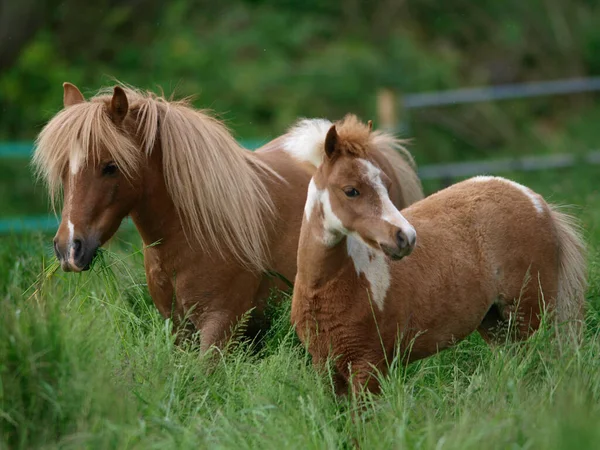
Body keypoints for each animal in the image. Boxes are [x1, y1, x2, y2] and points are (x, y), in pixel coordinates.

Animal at [31, 82, 422, 350]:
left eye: (110, 166)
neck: (192, 234)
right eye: (64, 170)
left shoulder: (220, 326)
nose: (69, 248)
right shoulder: (179, 329)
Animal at [290, 117, 584, 394]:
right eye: (351, 190)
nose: (406, 238)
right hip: (496, 324)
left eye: (386, 184)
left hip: (532, 315)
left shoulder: (368, 365)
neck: (325, 286)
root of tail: (535, 200)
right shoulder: (326, 368)